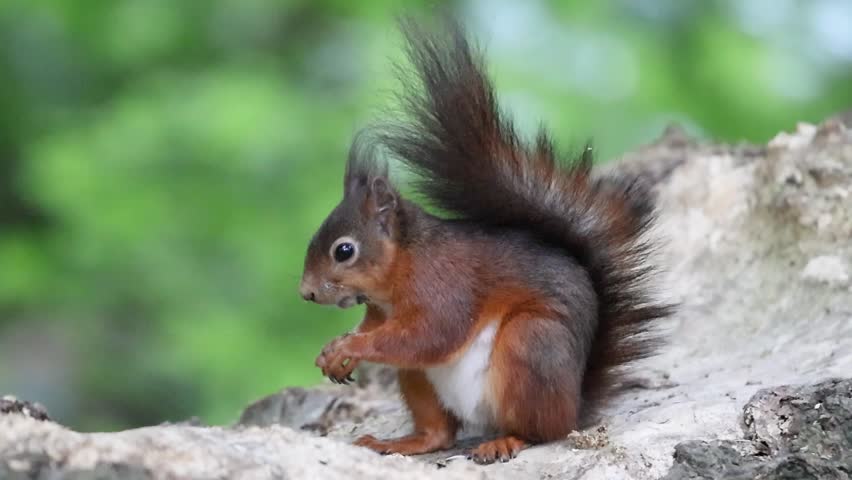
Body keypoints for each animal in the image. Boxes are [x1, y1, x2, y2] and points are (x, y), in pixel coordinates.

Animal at [299, 17, 674, 465]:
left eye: (344, 251)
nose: (305, 293)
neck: (403, 264)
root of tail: (575, 404)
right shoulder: (380, 310)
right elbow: (385, 330)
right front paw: (334, 353)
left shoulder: (444, 284)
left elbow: (431, 333)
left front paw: (348, 347)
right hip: (417, 378)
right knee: (439, 432)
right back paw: (400, 442)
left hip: (530, 345)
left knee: (542, 430)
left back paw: (506, 441)